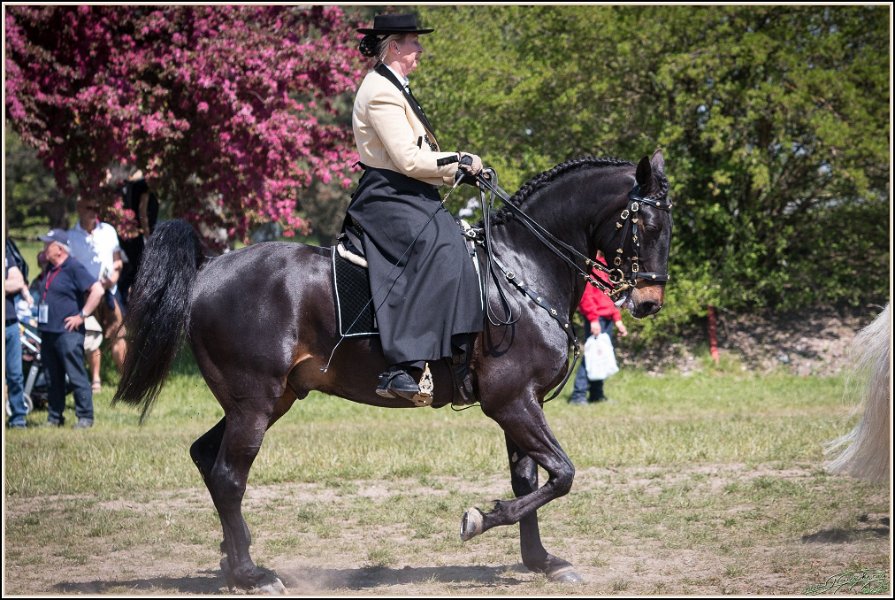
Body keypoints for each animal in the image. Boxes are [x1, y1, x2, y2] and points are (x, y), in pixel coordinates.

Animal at [114, 150, 672, 593]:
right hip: (253, 404)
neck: (520, 269)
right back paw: (253, 574)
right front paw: (479, 519)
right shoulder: (512, 401)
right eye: (645, 225)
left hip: (266, 402)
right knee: (229, 477)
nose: (648, 301)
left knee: (207, 459)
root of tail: (209, 267)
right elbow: (562, 474)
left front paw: (541, 560)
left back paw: (233, 564)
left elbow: (531, 479)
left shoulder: (521, 401)